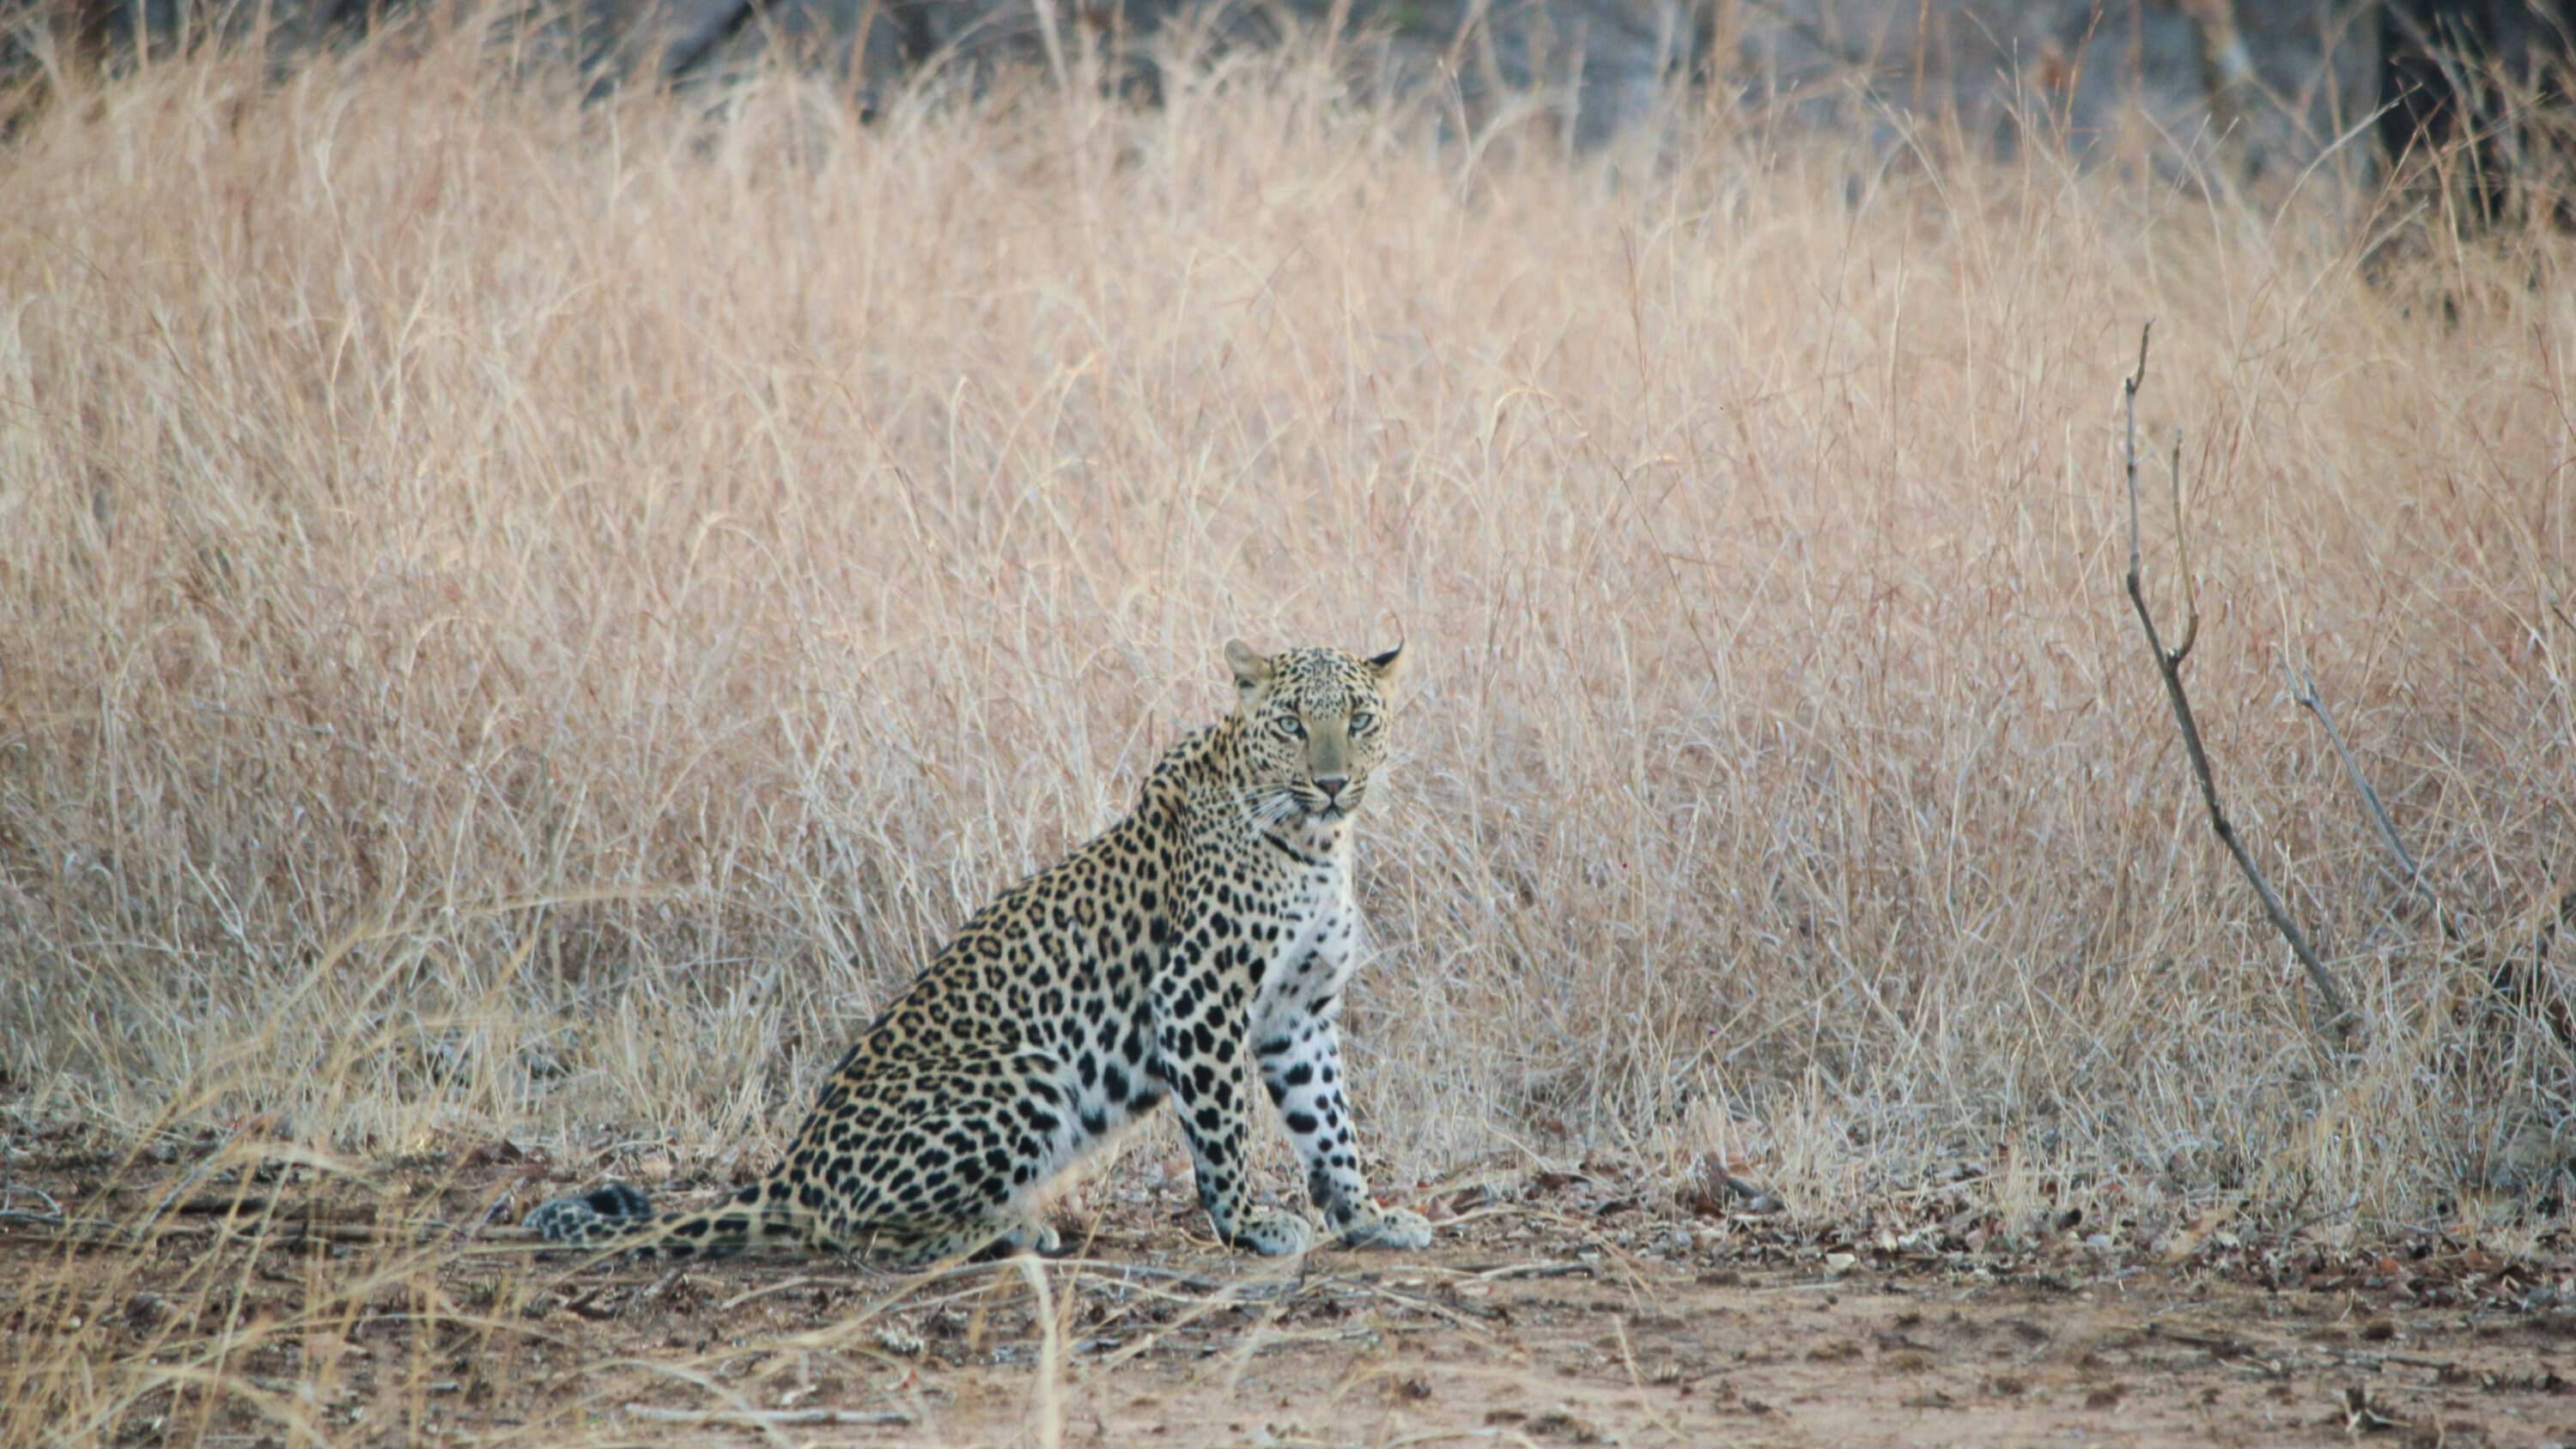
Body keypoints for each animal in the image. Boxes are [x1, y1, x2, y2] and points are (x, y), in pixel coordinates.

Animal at [522, 639, 1433, 1265]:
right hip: (1027, 1077)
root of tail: (795, 1169)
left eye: (1358, 721)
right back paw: (1007, 1233)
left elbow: (1329, 1122)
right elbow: (1224, 1128)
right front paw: (1251, 1222)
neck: (1317, 842)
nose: (1332, 783)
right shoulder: (1196, 996)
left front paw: (1368, 1217)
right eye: (1293, 724)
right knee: (853, 1231)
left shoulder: (1298, 1011)